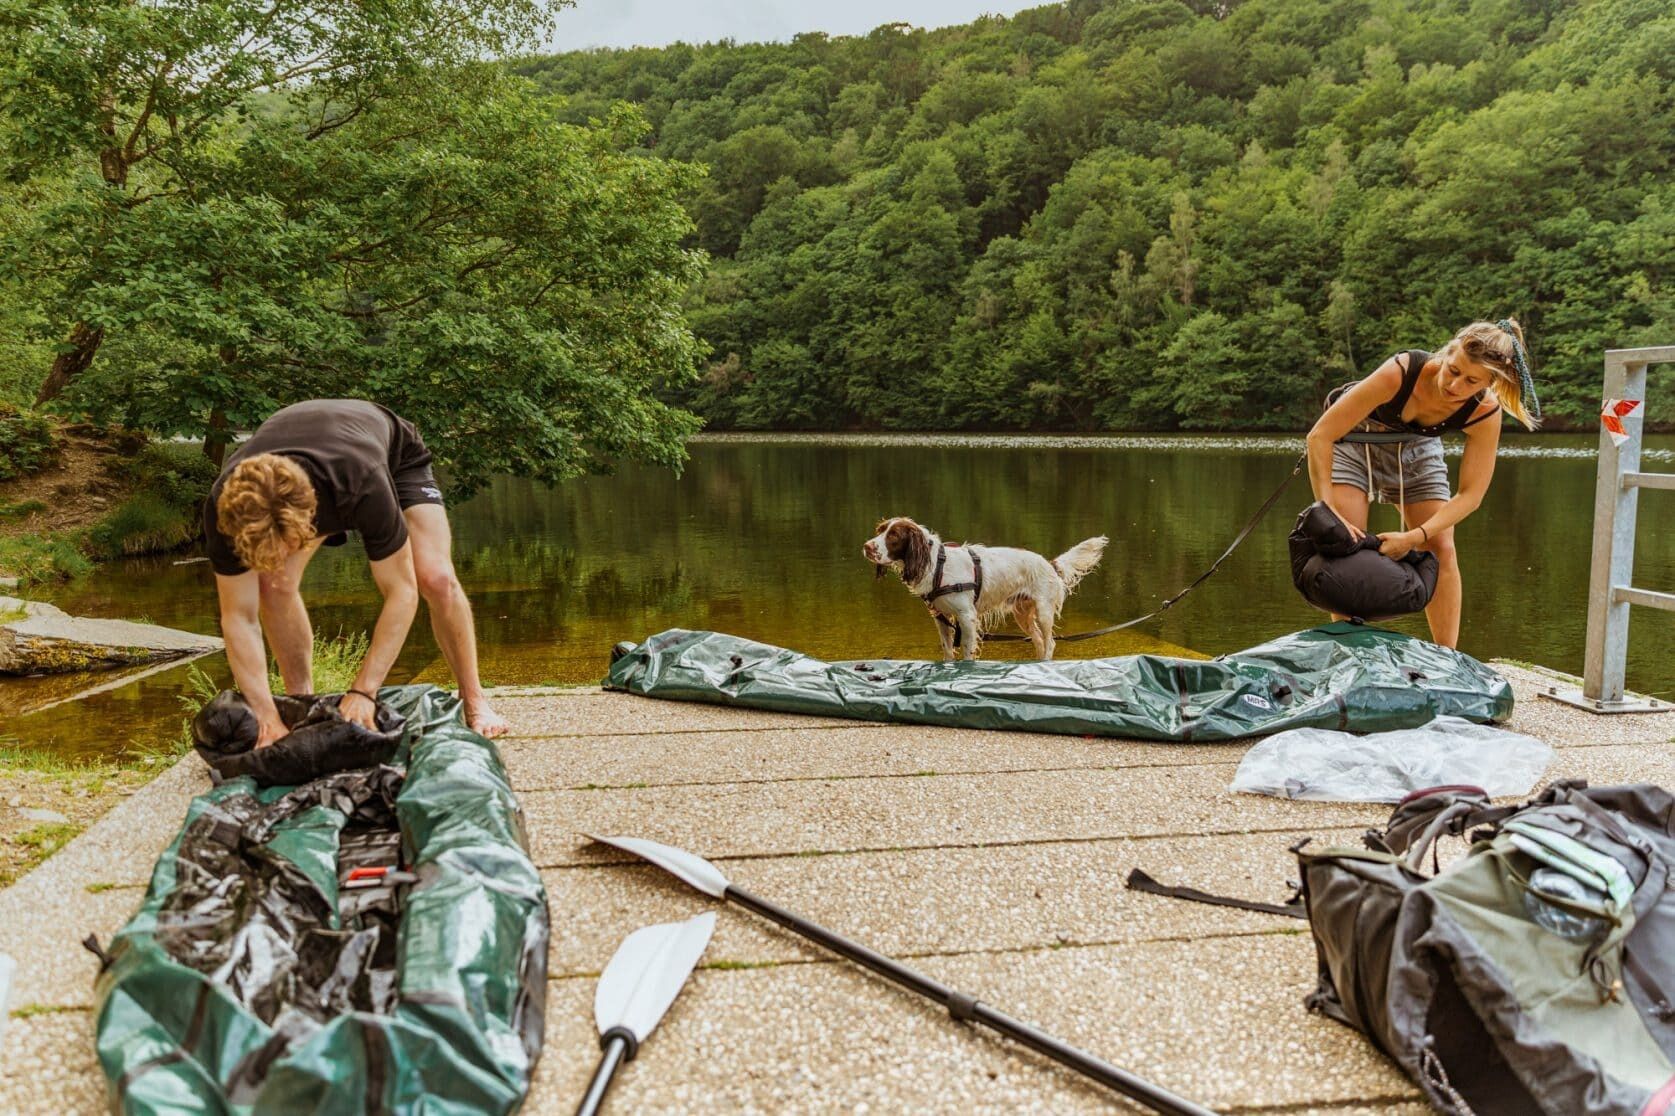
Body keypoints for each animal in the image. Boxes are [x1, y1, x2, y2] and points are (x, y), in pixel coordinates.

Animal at [864, 516, 1112, 660]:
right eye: (880, 530)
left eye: (894, 535)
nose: (866, 546)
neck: (937, 565)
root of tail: (1050, 564)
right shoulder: (941, 618)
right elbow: (947, 652)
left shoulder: (967, 617)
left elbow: (967, 652)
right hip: (1023, 615)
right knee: (1040, 642)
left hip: (1043, 612)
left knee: (1049, 643)